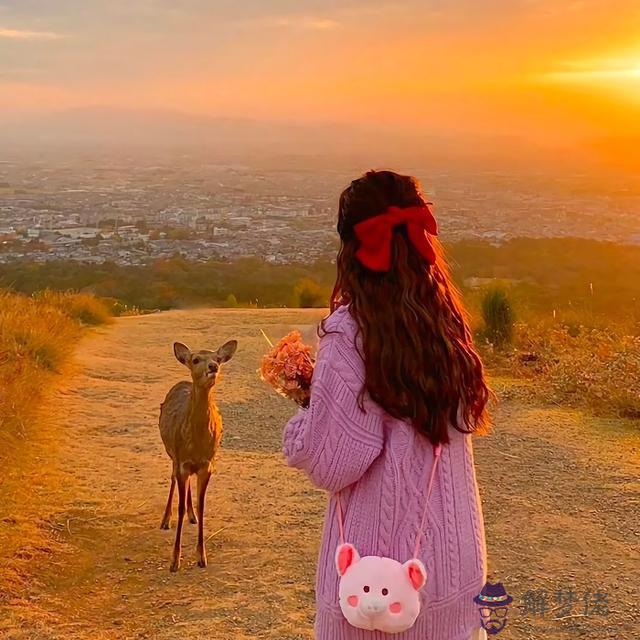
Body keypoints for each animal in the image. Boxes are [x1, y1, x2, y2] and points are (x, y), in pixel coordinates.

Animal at [159, 338, 239, 572]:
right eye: (195, 360)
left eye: (218, 358)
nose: (213, 366)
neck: (195, 444)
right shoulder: (181, 462)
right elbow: (178, 506)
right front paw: (174, 561)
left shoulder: (207, 464)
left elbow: (202, 506)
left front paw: (201, 557)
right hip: (171, 454)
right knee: (172, 481)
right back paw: (165, 520)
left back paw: (191, 515)